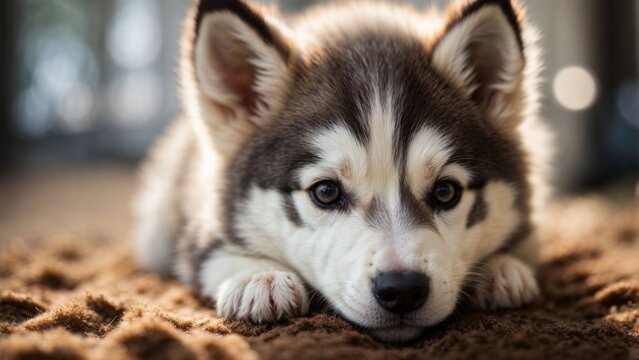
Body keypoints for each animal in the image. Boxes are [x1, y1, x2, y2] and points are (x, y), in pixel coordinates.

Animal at [135, 0, 552, 344]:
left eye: (445, 191)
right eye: (325, 192)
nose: (402, 289)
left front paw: (501, 267)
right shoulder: (195, 219)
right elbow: (207, 254)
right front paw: (258, 277)